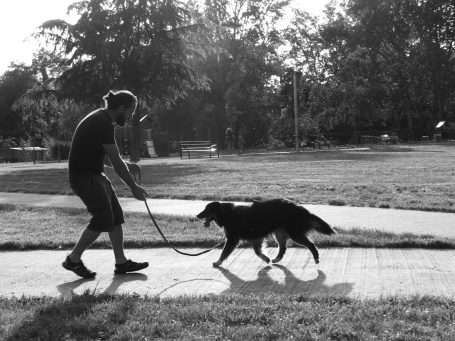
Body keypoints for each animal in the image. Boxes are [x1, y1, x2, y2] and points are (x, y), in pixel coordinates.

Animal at [198, 198, 336, 266]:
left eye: (206, 209)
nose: (197, 215)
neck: (226, 214)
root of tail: (299, 208)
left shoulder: (233, 239)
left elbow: (224, 252)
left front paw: (218, 262)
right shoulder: (255, 238)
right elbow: (258, 252)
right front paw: (266, 258)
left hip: (294, 233)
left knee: (310, 244)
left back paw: (316, 258)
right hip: (279, 233)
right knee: (283, 247)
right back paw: (276, 259)